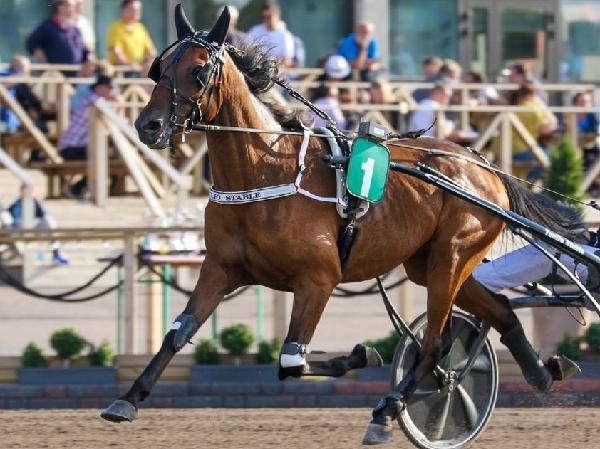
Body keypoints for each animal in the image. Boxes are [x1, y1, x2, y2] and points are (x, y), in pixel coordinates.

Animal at [101, 5, 580, 445]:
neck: (265, 170)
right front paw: (127, 398)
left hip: (454, 255)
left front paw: (362, 356)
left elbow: (291, 359)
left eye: (199, 70)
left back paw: (387, 411)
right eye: (159, 67)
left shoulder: (319, 277)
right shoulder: (220, 269)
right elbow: (178, 335)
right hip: (427, 264)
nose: (149, 125)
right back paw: (541, 371)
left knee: (435, 342)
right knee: (499, 310)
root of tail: (483, 164)